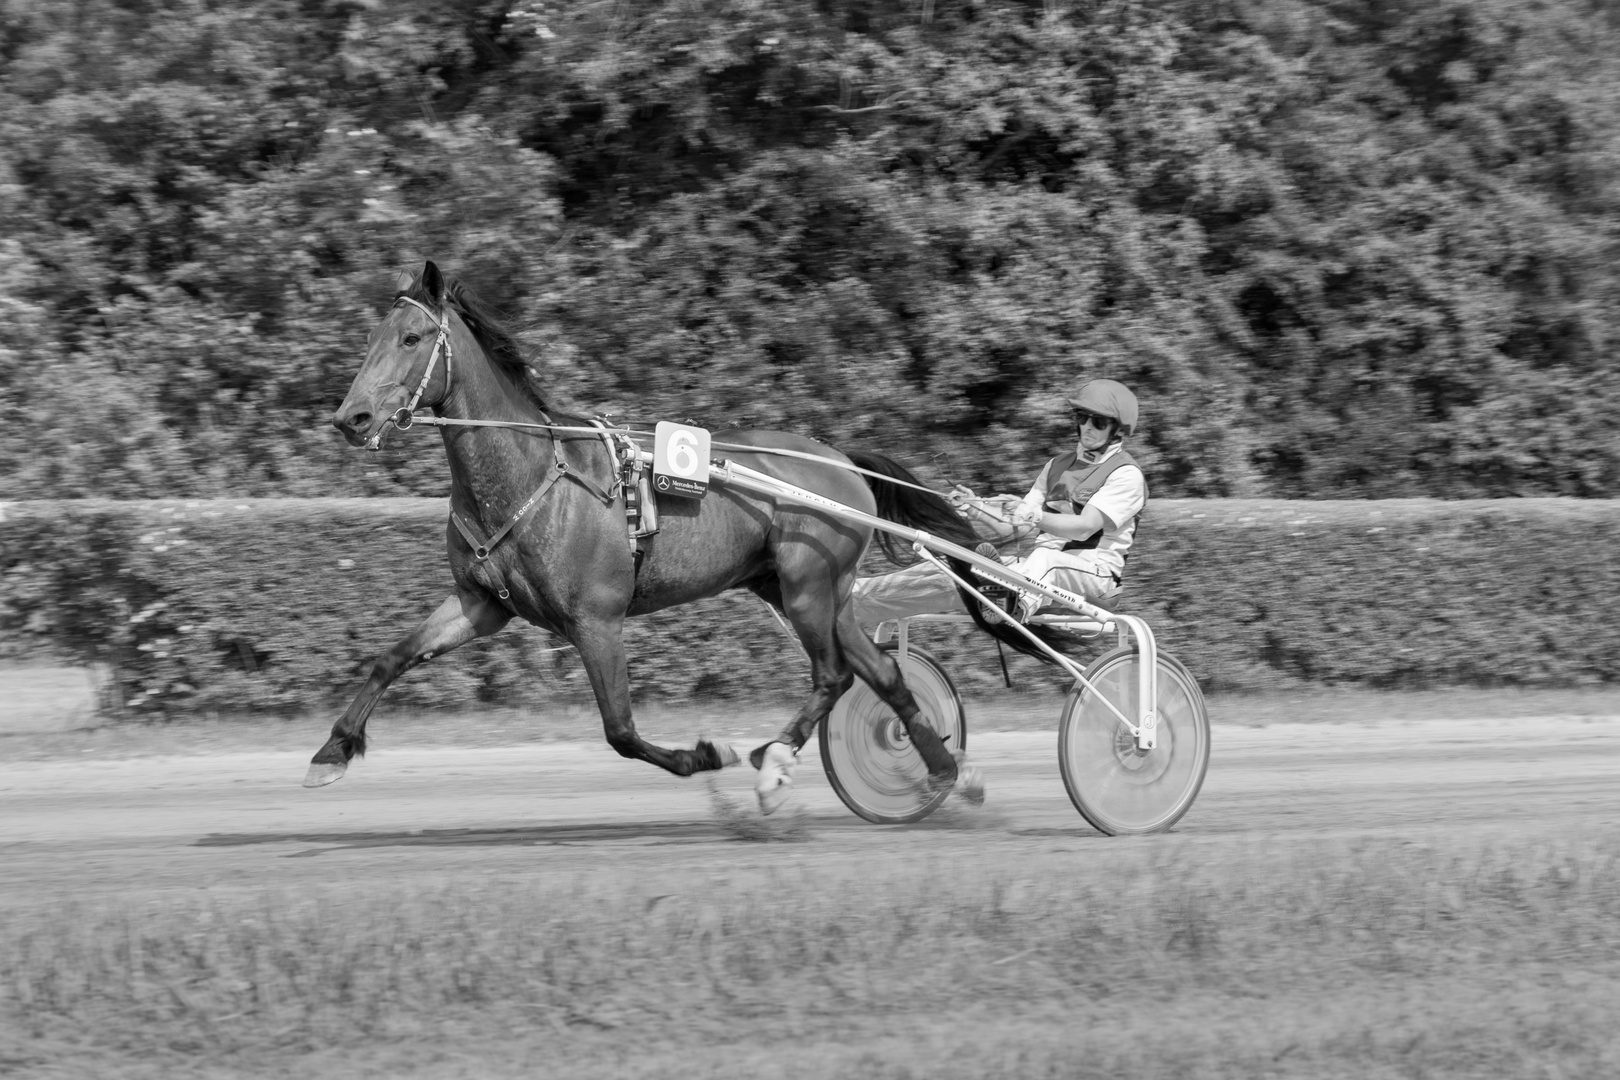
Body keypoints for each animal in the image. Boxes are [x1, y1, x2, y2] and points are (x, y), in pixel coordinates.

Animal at [307, 265, 978, 816]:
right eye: (371, 339)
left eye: (412, 339)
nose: (351, 418)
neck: (534, 475)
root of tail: (843, 464)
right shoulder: (481, 604)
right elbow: (392, 657)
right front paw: (332, 750)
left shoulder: (596, 621)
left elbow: (621, 731)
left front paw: (706, 754)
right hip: (810, 592)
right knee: (882, 674)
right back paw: (944, 772)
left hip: (808, 586)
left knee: (833, 677)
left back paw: (775, 761)